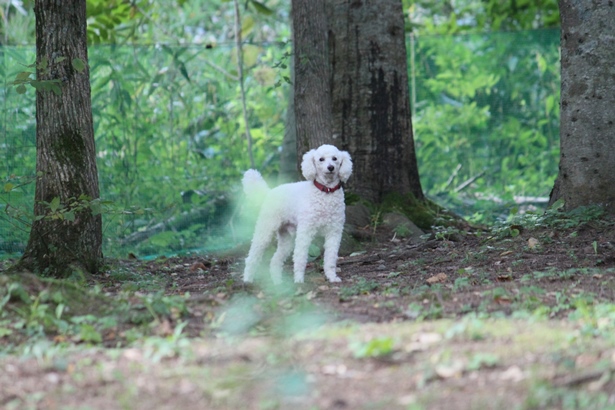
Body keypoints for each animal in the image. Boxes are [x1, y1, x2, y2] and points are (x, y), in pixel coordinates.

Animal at [243, 145, 354, 286]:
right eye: (321, 159)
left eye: (335, 158)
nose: (330, 167)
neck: (326, 192)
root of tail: (269, 192)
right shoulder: (305, 231)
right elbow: (300, 257)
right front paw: (299, 280)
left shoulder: (334, 232)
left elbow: (330, 258)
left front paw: (332, 277)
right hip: (266, 229)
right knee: (252, 256)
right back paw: (247, 280)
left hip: (287, 238)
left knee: (275, 259)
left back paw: (277, 282)